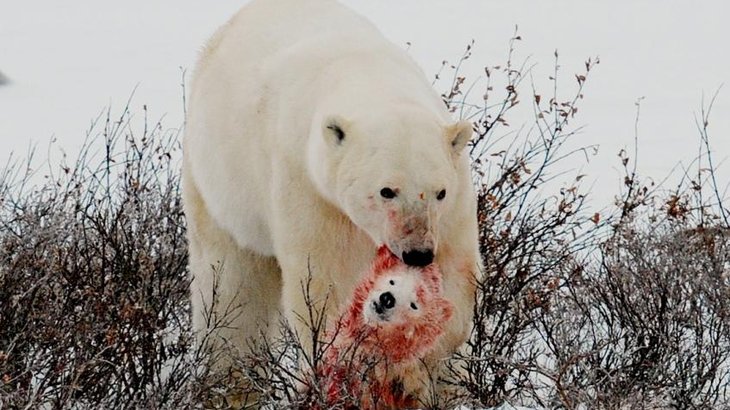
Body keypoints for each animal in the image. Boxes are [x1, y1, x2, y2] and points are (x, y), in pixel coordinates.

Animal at [182, 0, 478, 400]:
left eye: (439, 192)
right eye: (386, 191)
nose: (417, 253)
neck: (367, 74)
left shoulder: (453, 209)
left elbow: (453, 278)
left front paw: (420, 368)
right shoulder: (312, 190)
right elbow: (326, 286)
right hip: (220, 189)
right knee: (232, 289)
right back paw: (230, 385)